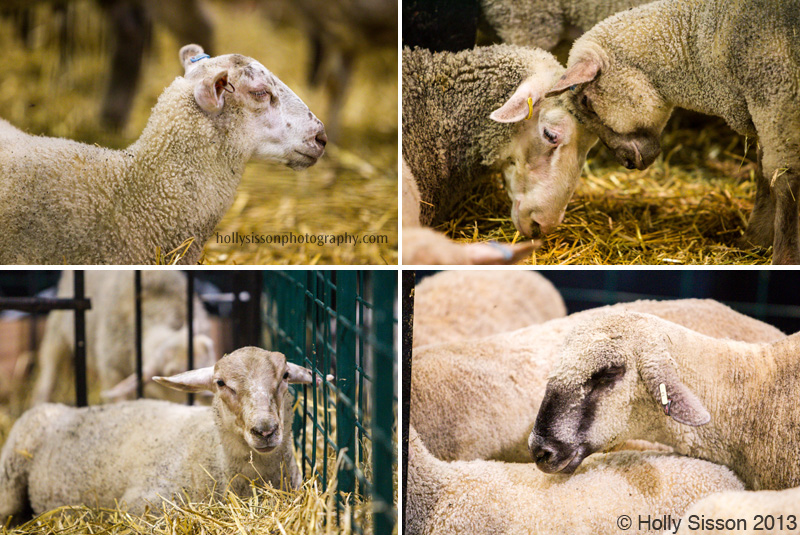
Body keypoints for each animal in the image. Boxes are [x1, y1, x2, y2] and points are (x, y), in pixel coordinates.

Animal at [32, 270, 215, 405]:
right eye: (173, 372)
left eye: (209, 350)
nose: (208, 394)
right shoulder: (112, 373)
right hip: (57, 327)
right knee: (48, 367)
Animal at [546, 0, 800, 264]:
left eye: (586, 101)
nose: (627, 162)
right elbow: (764, 173)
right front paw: (754, 241)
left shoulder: (776, 97)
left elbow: (783, 180)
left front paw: (783, 256)